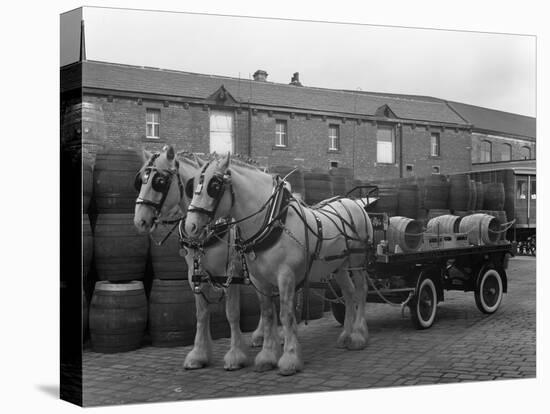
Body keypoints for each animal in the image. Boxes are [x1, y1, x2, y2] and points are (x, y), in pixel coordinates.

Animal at [133, 146, 264, 372]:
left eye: (160, 181)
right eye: (141, 179)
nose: (139, 220)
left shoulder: (230, 274)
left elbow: (232, 313)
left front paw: (235, 355)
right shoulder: (193, 274)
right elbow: (201, 314)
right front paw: (199, 354)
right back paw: (261, 335)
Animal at [185, 152, 376, 376]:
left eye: (214, 185)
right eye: (192, 185)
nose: (190, 225)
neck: (270, 221)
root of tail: (353, 203)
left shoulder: (286, 276)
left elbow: (286, 315)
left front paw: (290, 358)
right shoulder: (259, 280)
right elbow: (268, 314)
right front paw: (267, 356)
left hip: (357, 261)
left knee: (361, 291)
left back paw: (358, 335)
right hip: (339, 265)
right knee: (348, 292)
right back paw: (346, 334)